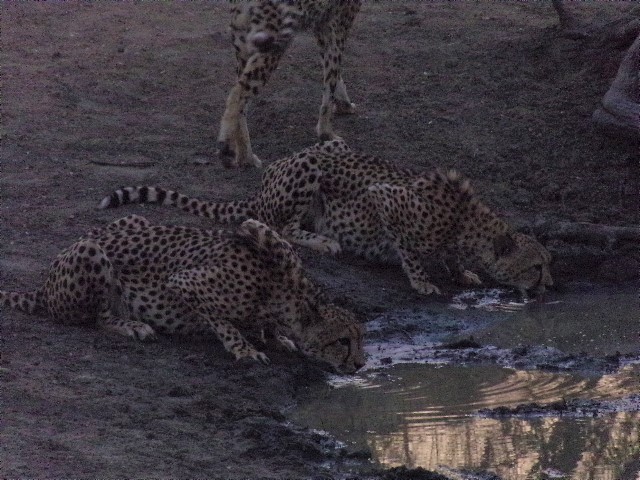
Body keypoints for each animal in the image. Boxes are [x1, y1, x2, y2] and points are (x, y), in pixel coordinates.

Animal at [1, 216, 364, 374]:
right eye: (343, 341)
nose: (361, 364)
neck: (287, 294)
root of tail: (45, 286)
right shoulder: (185, 283)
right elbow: (223, 321)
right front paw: (244, 349)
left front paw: (275, 338)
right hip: (91, 252)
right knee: (99, 318)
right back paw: (132, 326)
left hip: (133, 218)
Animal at [102, 139, 552, 296]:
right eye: (536, 266)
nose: (550, 284)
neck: (465, 220)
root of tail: (266, 177)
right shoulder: (386, 200)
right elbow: (408, 249)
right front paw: (423, 281)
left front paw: (461, 272)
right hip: (312, 167)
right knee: (281, 226)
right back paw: (324, 240)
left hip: (332, 144)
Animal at [219, 0, 360, 169]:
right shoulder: (338, 26)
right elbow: (331, 78)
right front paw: (326, 133)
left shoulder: (321, 26)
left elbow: (334, 74)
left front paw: (344, 104)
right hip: (270, 44)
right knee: (237, 94)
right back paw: (227, 147)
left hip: (245, 48)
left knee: (241, 98)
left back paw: (245, 156)